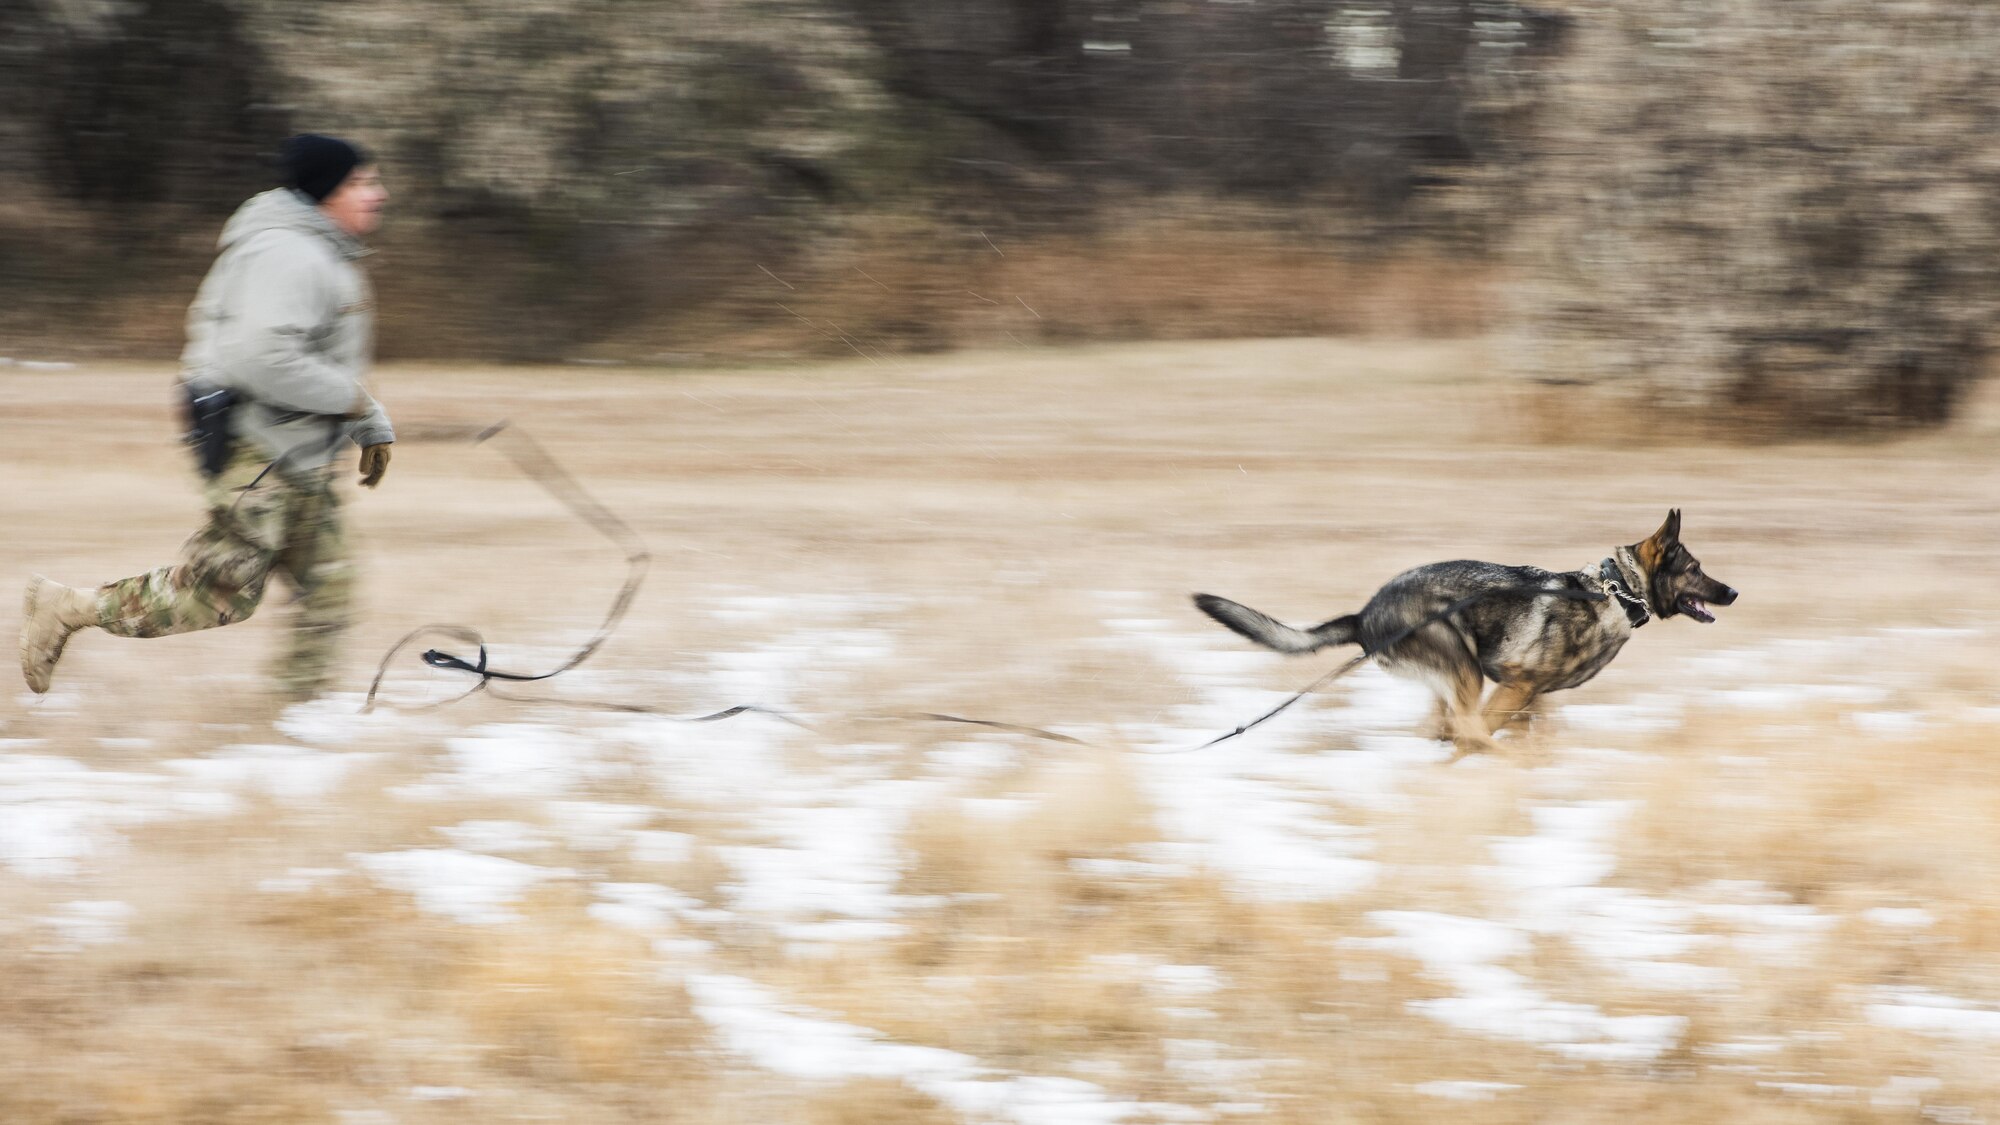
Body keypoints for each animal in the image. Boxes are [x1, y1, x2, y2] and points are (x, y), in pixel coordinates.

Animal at [1192, 512, 1744, 756]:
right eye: (1695, 569)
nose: (1735, 592)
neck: (1615, 592)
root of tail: (1363, 614)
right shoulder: (1516, 686)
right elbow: (1492, 729)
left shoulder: (1535, 697)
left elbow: (1544, 730)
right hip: (1463, 666)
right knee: (1466, 728)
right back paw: (1491, 756)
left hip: (1457, 676)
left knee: (1443, 727)